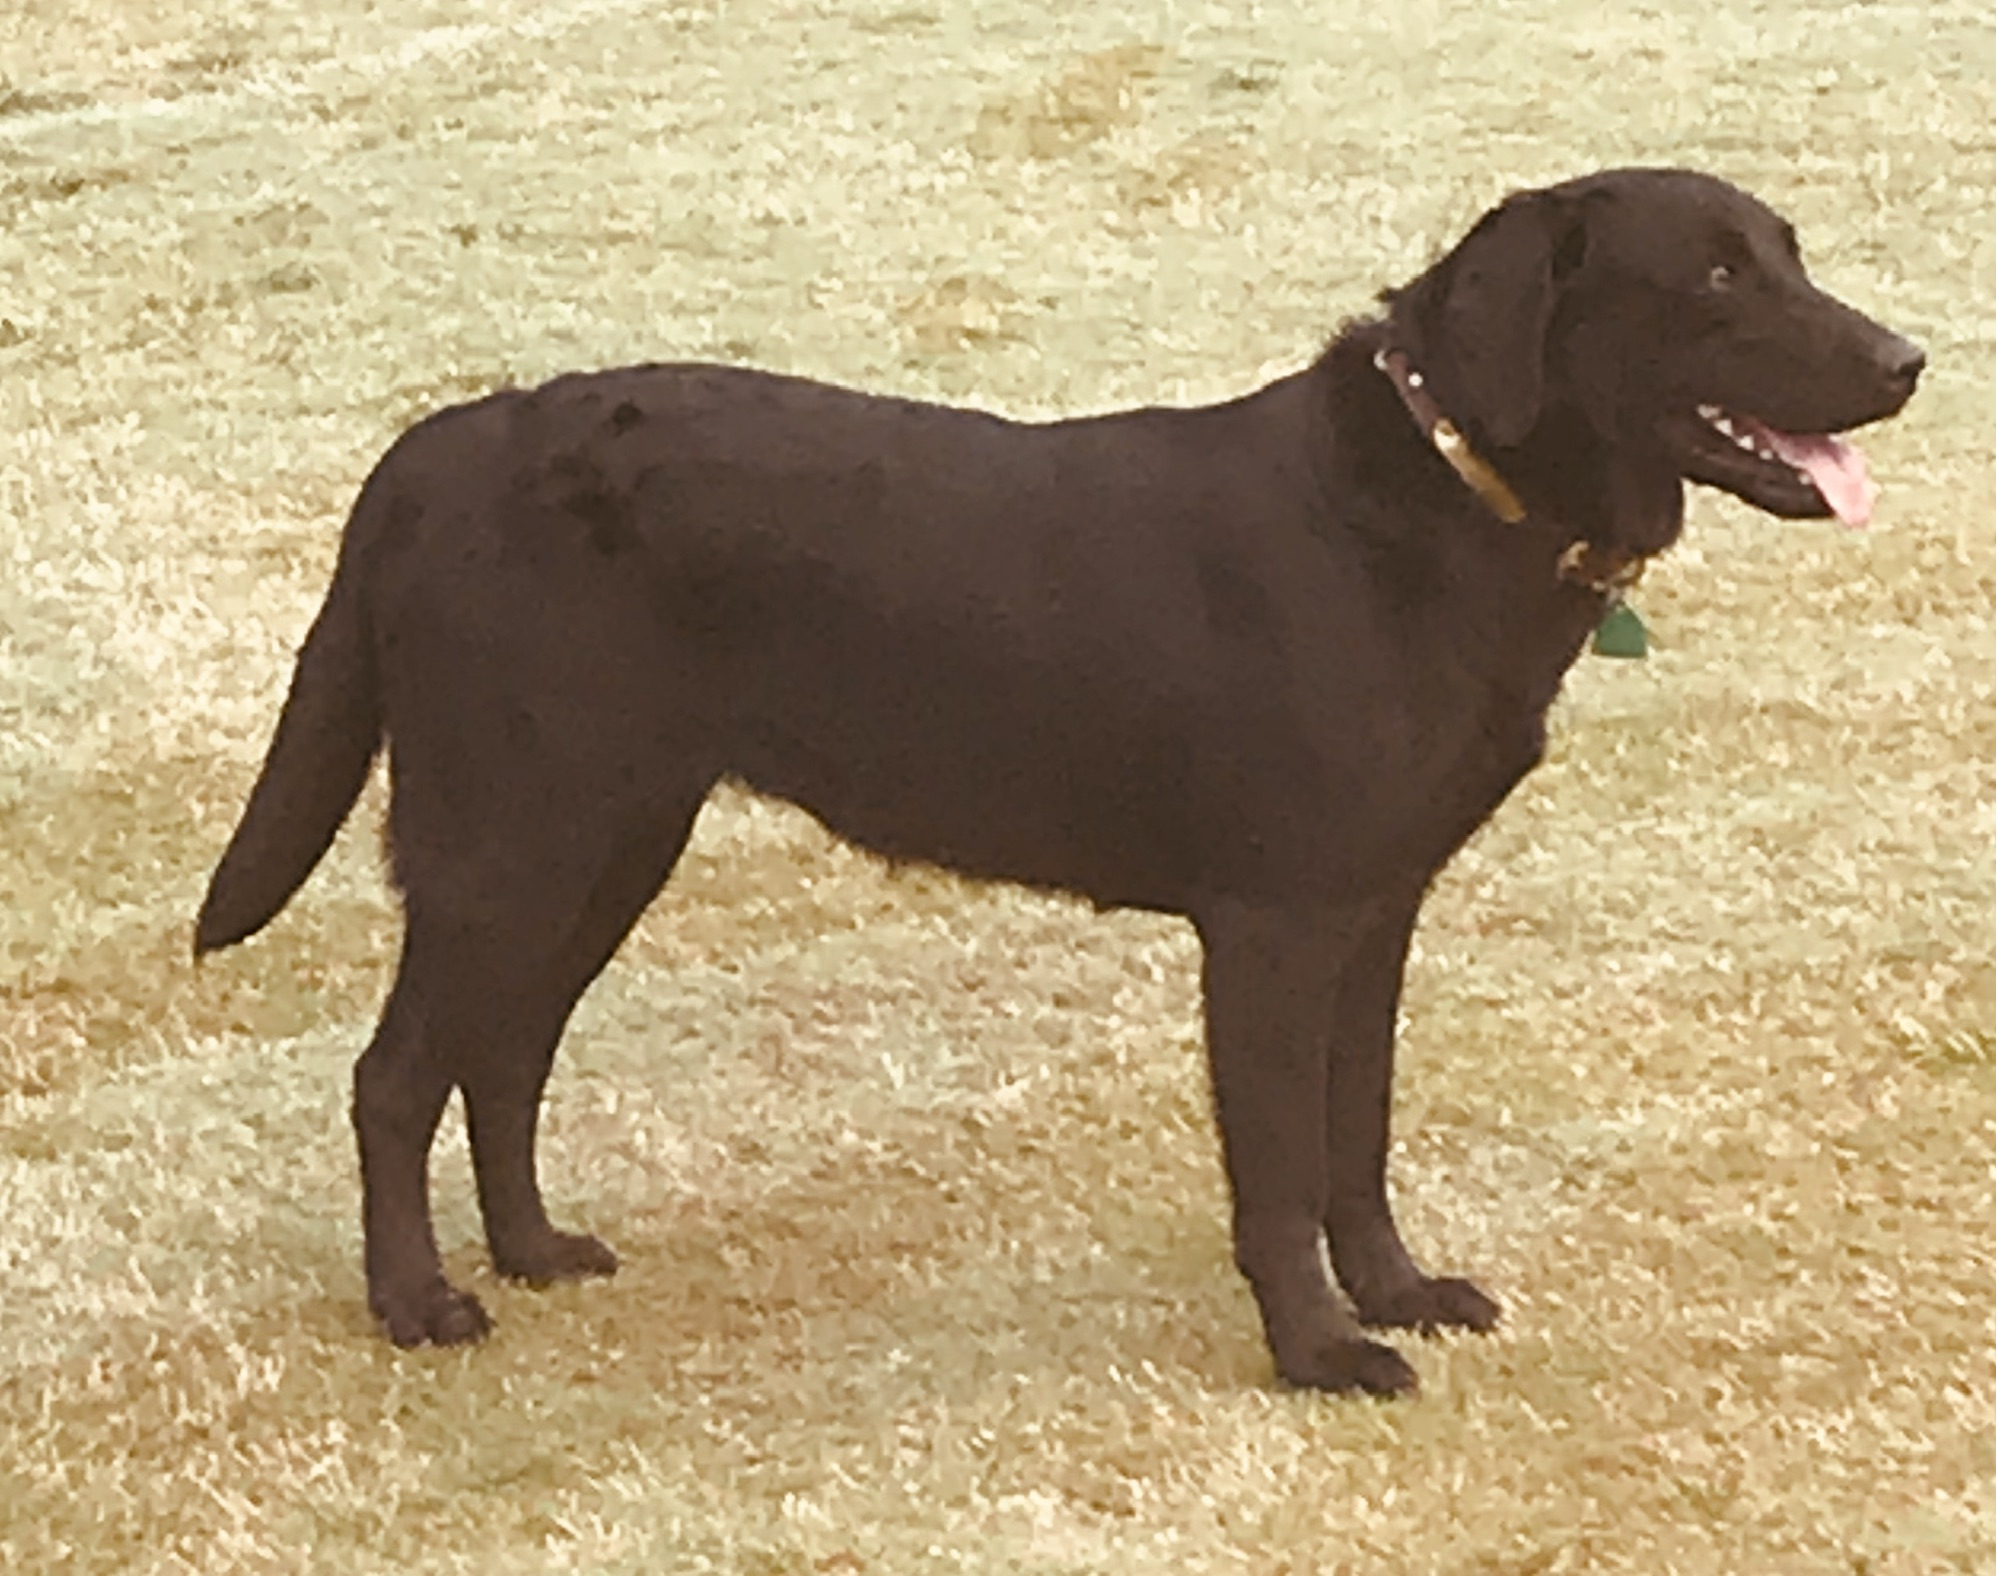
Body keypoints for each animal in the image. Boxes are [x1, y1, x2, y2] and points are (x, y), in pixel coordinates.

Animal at [198, 169, 1916, 1396]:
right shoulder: (1275, 925)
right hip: (513, 837)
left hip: (611, 836)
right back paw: (419, 1303)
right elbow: (1278, 1169)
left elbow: (1357, 1139)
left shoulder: (1377, 915)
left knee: (503, 1057)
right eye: (1714, 276)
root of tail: (446, 440)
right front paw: (1319, 1353)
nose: (1909, 361)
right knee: (396, 1076)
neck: (1435, 507)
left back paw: (537, 1250)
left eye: (1788, 250)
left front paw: (1400, 1294)